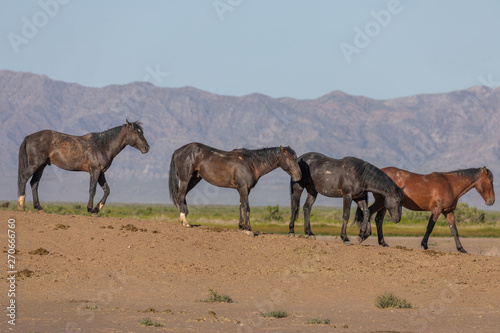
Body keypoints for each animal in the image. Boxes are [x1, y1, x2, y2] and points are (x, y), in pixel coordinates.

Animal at [18, 119, 150, 215]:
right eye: (135, 132)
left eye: (142, 132)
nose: (146, 147)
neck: (103, 145)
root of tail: (29, 137)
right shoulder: (94, 171)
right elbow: (92, 189)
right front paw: (91, 209)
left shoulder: (101, 172)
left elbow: (107, 190)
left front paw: (97, 209)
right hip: (35, 164)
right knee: (24, 178)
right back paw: (21, 206)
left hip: (41, 166)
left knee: (34, 183)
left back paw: (39, 207)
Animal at [168, 142, 300, 233]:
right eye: (289, 158)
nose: (299, 175)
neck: (251, 163)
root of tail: (178, 151)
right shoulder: (243, 188)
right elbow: (246, 207)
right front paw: (248, 229)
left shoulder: (245, 189)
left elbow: (241, 206)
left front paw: (242, 227)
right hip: (185, 179)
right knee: (180, 196)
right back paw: (185, 222)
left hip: (195, 179)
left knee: (183, 196)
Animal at [356, 166, 496, 252]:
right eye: (490, 182)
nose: (492, 201)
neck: (450, 184)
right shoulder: (437, 210)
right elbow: (430, 227)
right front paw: (424, 245)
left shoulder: (448, 211)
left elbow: (454, 230)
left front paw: (461, 249)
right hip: (381, 202)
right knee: (369, 213)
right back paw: (363, 236)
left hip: (385, 205)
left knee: (378, 219)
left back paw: (382, 242)